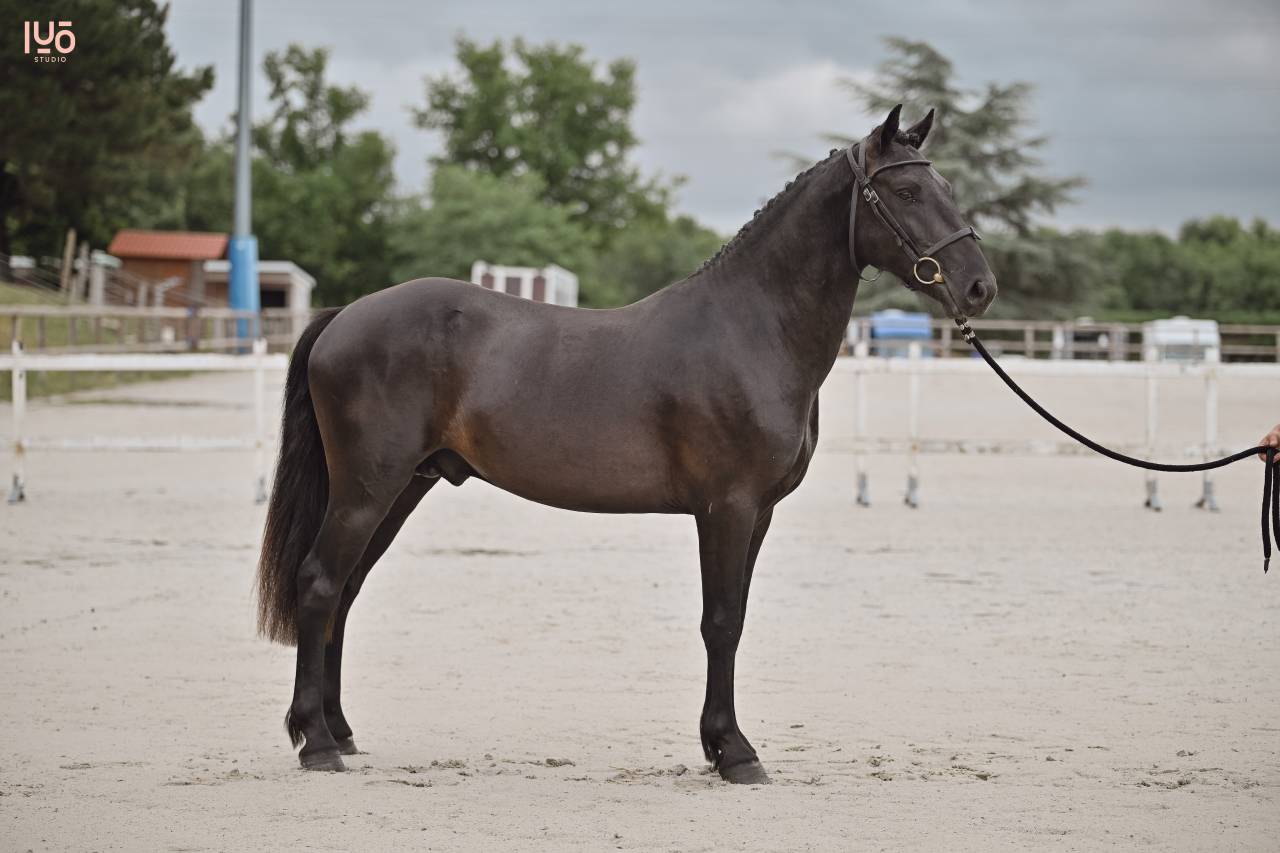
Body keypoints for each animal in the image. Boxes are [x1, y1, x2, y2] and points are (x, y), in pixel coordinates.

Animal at [256, 104, 997, 784]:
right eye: (908, 192)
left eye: (946, 187)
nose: (979, 287)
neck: (751, 329)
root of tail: (344, 316)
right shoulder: (726, 507)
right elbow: (721, 621)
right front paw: (734, 752)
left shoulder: (759, 512)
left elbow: (736, 616)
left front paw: (721, 745)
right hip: (368, 486)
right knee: (320, 584)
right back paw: (316, 742)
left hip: (403, 484)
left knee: (345, 591)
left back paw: (339, 730)